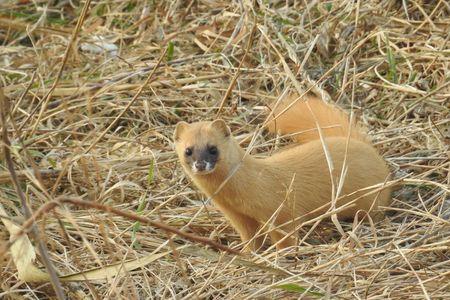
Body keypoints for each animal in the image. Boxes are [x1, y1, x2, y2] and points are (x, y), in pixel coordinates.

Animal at [174, 94, 392, 251]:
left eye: (213, 148)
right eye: (188, 150)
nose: (200, 164)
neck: (236, 197)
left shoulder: (281, 211)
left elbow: (286, 236)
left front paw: (283, 255)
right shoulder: (238, 216)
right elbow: (251, 237)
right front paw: (249, 253)